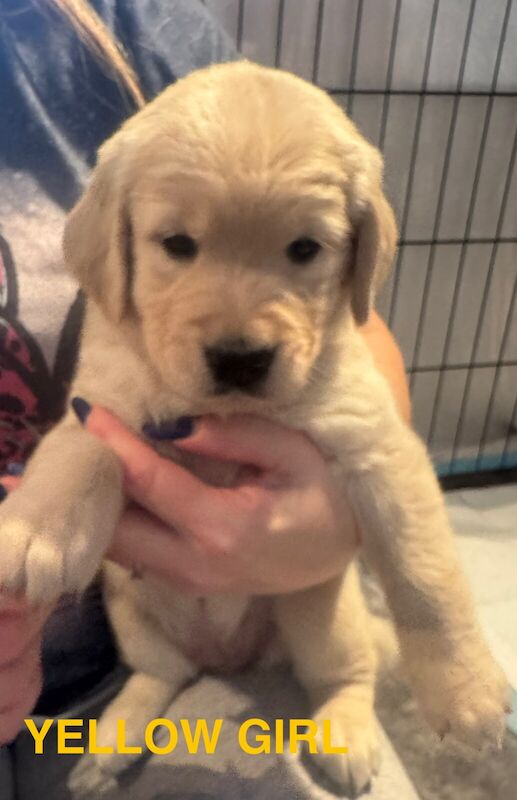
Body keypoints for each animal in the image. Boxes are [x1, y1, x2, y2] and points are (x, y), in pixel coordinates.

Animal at [0, 62, 508, 792]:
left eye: (305, 249)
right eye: (177, 245)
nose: (240, 358)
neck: (228, 411)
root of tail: (230, 659)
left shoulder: (379, 450)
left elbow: (425, 577)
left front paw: (466, 693)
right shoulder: (101, 403)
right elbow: (84, 451)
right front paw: (36, 529)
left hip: (319, 617)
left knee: (346, 674)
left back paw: (344, 728)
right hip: (134, 613)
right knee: (163, 673)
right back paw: (114, 739)